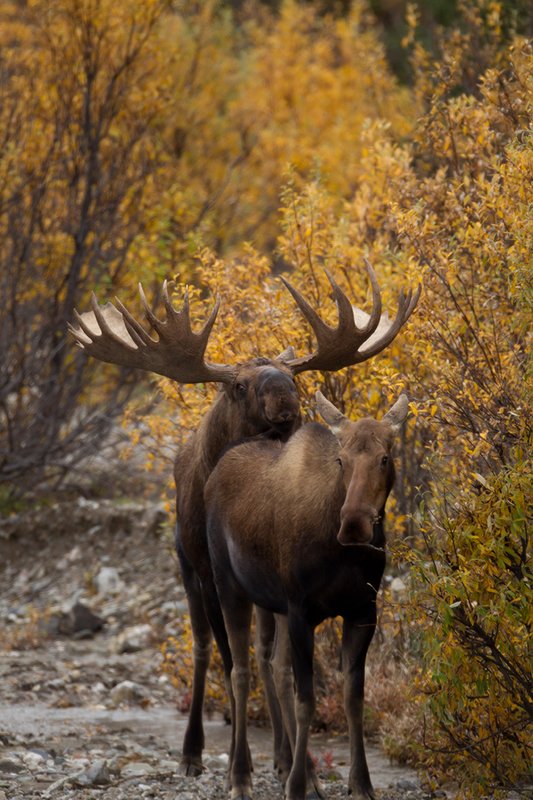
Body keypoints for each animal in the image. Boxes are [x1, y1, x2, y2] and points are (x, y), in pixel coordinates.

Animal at [204, 391, 410, 800]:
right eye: (341, 459)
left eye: (384, 458)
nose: (354, 524)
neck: (343, 555)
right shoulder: (302, 612)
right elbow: (307, 702)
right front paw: (296, 786)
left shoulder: (362, 612)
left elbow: (353, 699)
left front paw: (360, 783)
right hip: (229, 587)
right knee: (240, 672)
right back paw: (240, 777)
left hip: (275, 606)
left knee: (276, 668)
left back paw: (304, 774)